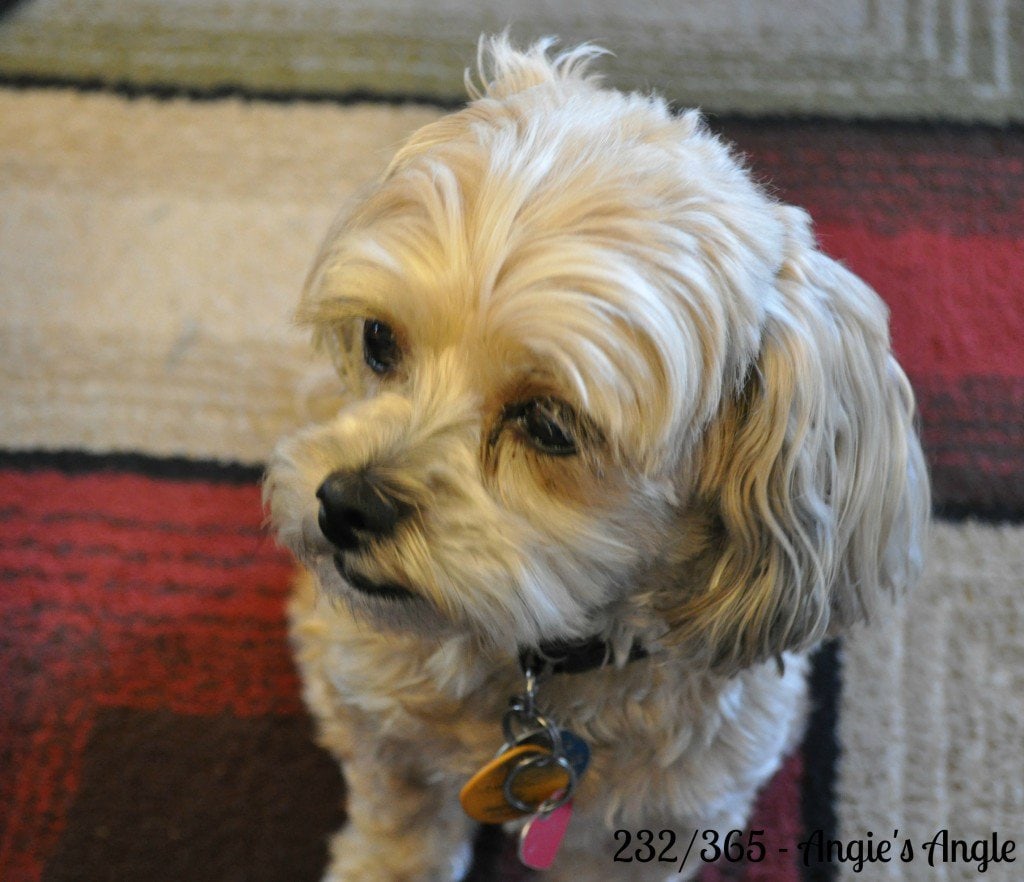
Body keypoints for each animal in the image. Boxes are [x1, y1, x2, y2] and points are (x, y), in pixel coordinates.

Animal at [262, 36, 929, 880]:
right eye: (380, 339)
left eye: (550, 424)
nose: (347, 504)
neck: (540, 665)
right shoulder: (378, 723)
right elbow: (401, 821)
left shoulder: (669, 818)